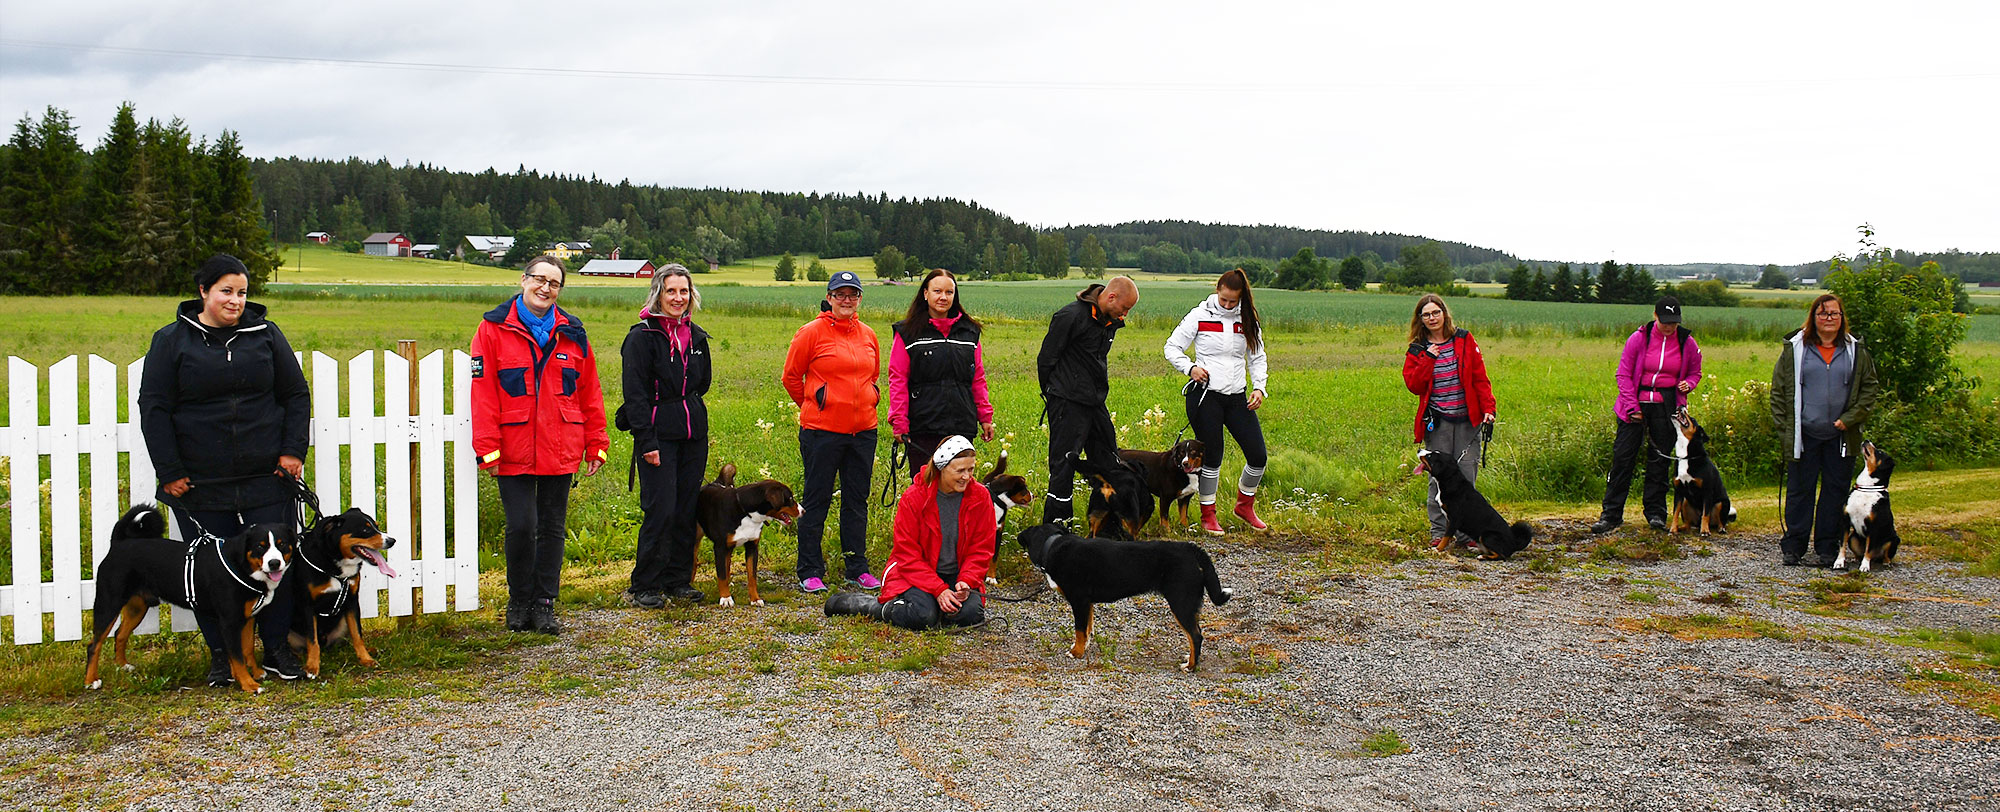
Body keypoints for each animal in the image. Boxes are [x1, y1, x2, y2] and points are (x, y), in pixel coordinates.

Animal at [85, 504, 294, 696]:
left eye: (282, 544)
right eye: (260, 546)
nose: (274, 563)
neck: (241, 566)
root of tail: (119, 543)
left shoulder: (248, 617)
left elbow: (247, 648)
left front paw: (256, 672)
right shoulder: (229, 621)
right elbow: (237, 656)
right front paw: (248, 683)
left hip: (137, 607)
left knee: (120, 634)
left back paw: (123, 666)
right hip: (108, 603)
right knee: (94, 644)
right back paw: (91, 681)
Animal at [284, 508, 396, 680]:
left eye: (376, 526)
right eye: (365, 530)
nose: (391, 541)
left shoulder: (352, 601)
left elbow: (357, 635)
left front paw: (366, 659)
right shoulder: (308, 606)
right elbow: (312, 640)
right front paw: (312, 667)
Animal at [1024, 524, 1224, 668]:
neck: (1052, 546)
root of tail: (1189, 549)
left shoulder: (1079, 600)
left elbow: (1080, 630)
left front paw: (1076, 652)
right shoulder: (1087, 603)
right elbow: (1088, 628)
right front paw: (1085, 646)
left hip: (1181, 602)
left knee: (1196, 636)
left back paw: (1190, 666)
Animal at [1832, 444, 1896, 572]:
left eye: (1880, 452)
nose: (1866, 441)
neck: (1867, 487)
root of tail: (1876, 557)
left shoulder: (1874, 527)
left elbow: (1868, 549)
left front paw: (1865, 566)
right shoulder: (1845, 522)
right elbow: (1842, 545)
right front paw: (1839, 562)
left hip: (1893, 539)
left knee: (1885, 555)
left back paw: (1887, 563)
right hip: (1853, 538)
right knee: (1859, 554)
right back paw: (1855, 559)